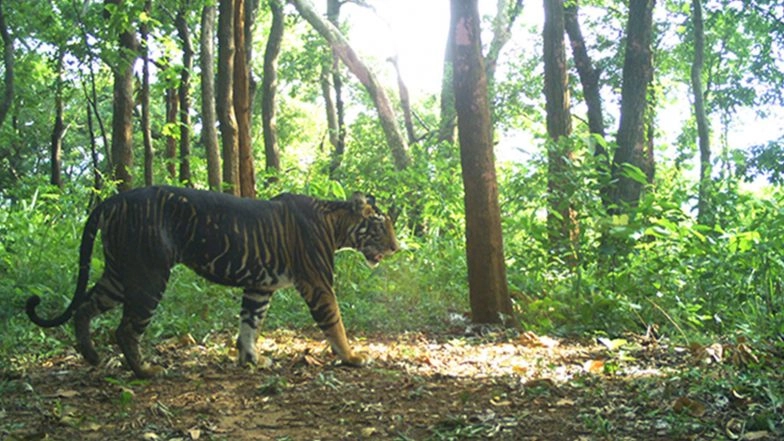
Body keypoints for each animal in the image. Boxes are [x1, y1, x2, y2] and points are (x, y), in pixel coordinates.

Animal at [26, 186, 399, 378]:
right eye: (381, 226)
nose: (397, 248)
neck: (336, 226)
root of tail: (115, 198)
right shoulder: (319, 283)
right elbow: (335, 322)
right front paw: (351, 357)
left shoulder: (260, 287)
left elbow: (249, 325)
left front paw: (251, 360)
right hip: (148, 275)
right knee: (126, 329)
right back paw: (146, 370)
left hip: (120, 273)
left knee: (85, 307)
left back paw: (90, 355)